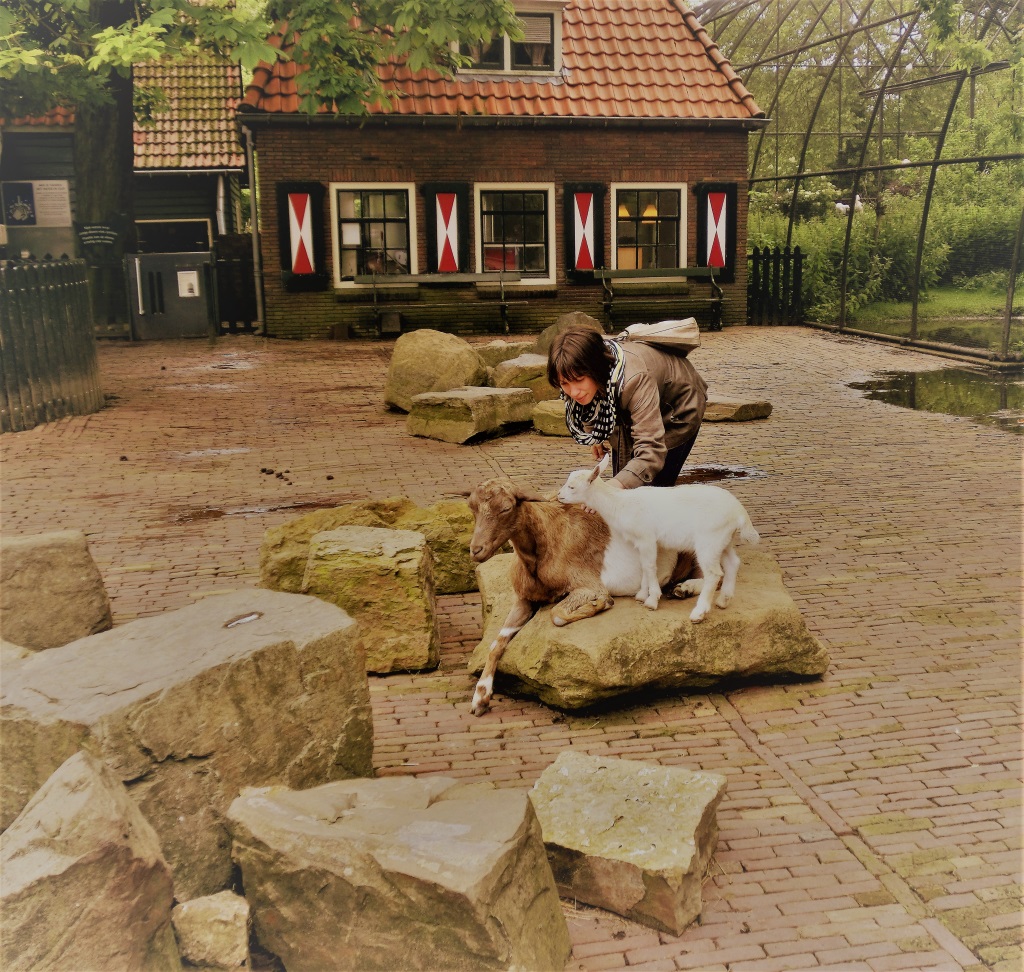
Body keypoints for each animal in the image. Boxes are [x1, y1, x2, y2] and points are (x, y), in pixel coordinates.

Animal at [466, 479, 697, 715]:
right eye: (472, 507)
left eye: (506, 508)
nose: (476, 550)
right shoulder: (524, 599)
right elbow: (497, 643)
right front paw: (481, 697)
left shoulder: (589, 584)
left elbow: (557, 614)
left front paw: (599, 603)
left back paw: (685, 588)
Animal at [557, 455, 759, 622]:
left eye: (572, 487)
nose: (559, 496)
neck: (619, 503)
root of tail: (740, 513)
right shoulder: (641, 542)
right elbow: (644, 566)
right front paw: (642, 594)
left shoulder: (646, 537)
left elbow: (649, 567)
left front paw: (652, 600)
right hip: (723, 540)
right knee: (733, 563)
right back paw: (723, 601)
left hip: (709, 541)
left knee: (714, 574)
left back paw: (699, 612)